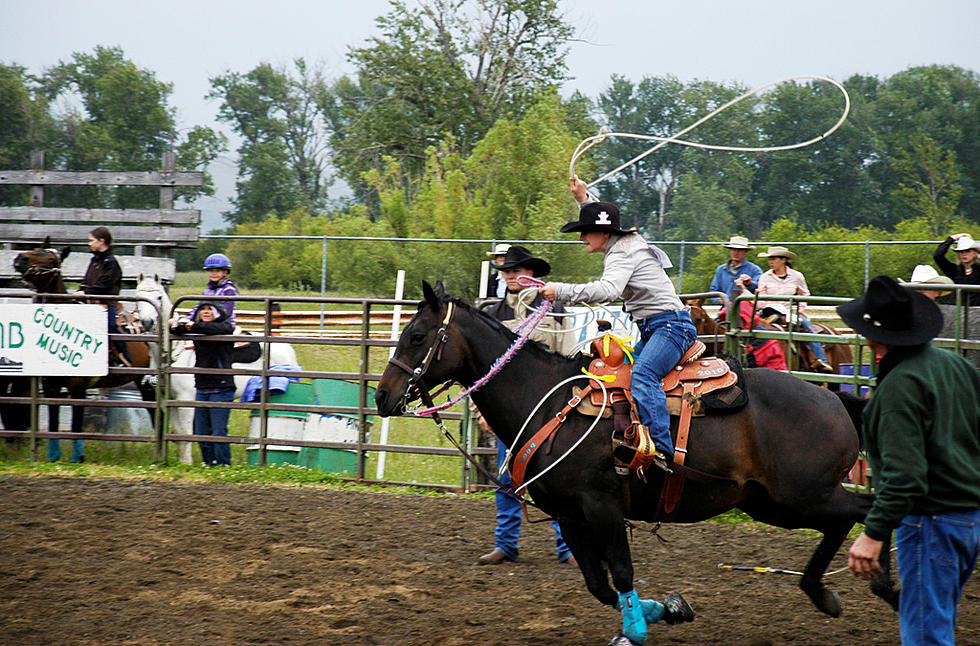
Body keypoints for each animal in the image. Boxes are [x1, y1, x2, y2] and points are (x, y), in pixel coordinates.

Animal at [10, 240, 155, 464]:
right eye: (34, 250)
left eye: (51, 259)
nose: (20, 258)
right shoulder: (50, 385)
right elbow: (53, 421)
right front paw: (53, 456)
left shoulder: (78, 386)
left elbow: (76, 423)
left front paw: (78, 457)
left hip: (146, 382)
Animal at [135, 272, 298, 466]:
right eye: (138, 297)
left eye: (159, 297)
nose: (147, 322)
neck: (174, 351)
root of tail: (288, 349)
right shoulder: (169, 400)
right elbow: (179, 433)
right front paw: (183, 462)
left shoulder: (186, 399)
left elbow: (187, 433)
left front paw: (187, 464)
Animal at [374, 284, 896, 646]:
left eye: (416, 336)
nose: (380, 397)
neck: (548, 404)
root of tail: (833, 398)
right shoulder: (571, 515)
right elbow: (599, 584)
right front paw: (669, 609)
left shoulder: (602, 505)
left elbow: (621, 573)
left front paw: (637, 630)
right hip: (771, 503)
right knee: (852, 518)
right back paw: (836, 592)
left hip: (803, 495)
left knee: (863, 512)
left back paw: (879, 587)